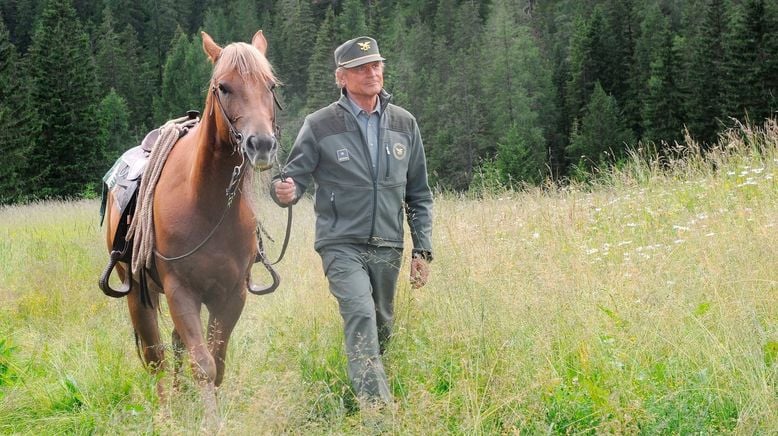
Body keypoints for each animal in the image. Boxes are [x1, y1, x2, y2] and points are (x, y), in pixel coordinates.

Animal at [102, 31, 278, 430]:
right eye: (223, 87)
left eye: (271, 85)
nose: (260, 144)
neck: (207, 205)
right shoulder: (181, 292)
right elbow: (202, 363)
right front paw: (210, 422)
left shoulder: (232, 295)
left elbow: (218, 361)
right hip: (138, 294)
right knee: (156, 355)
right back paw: (167, 410)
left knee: (175, 346)